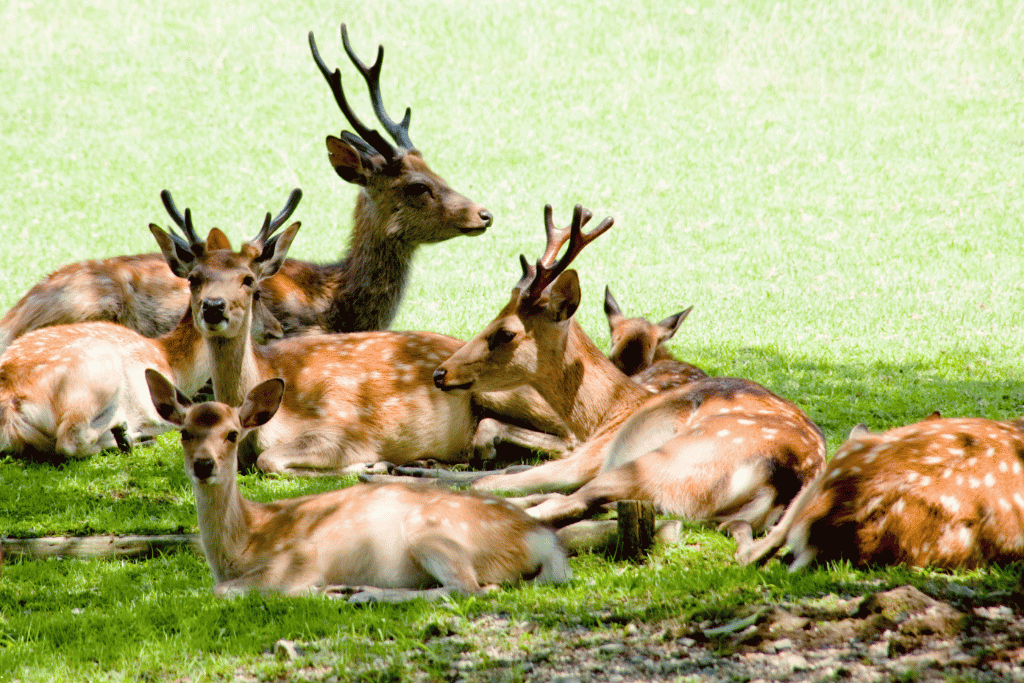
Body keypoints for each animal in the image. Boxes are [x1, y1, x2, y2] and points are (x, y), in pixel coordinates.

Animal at [0, 23, 491, 353]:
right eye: (417, 187)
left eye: (437, 170)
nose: (483, 213)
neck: (338, 299)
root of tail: (13, 315)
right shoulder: (295, 324)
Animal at [0, 191, 299, 460]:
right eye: (258, 292)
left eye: (249, 281)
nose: (276, 330)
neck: (171, 360)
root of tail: (12, 402)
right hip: (97, 373)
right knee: (71, 440)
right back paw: (131, 435)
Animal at [144, 368, 571, 598]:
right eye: (184, 432)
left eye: (232, 434)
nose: (203, 465)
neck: (241, 545)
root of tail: (544, 541)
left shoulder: (302, 556)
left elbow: (223, 590)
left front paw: (315, 589)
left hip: (435, 534)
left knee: (471, 588)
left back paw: (359, 594)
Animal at [158, 197, 566, 476]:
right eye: (193, 278)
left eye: (249, 281)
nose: (214, 307)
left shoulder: (343, 428)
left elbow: (270, 459)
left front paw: (372, 465)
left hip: (503, 389)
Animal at [431, 205, 826, 538]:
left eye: (506, 333)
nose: (440, 373)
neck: (606, 413)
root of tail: (795, 476)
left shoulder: (591, 456)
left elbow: (488, 481)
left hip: (661, 463)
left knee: (564, 503)